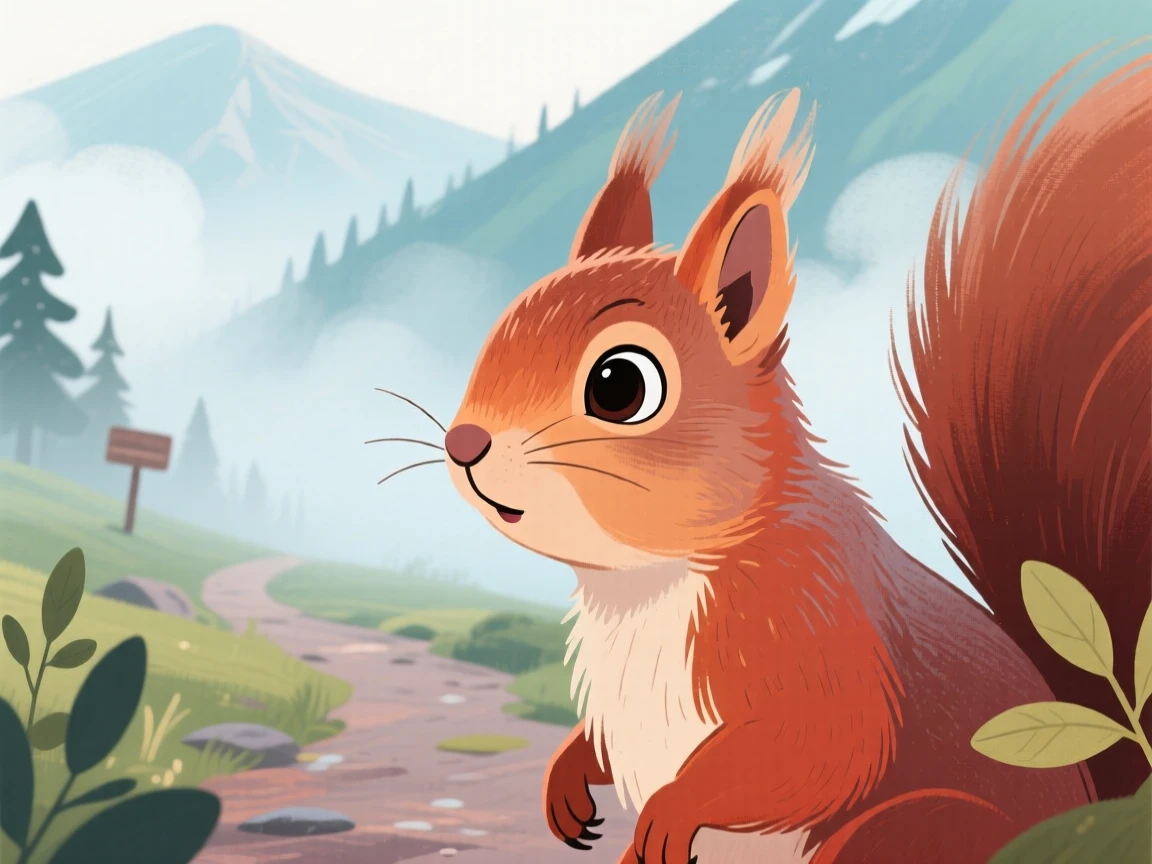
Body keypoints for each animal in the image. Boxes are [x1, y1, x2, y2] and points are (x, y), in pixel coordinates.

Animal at [443, 47, 1151, 864]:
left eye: (620, 384)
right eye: (502, 324)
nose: (463, 444)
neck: (646, 582)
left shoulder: (808, 623)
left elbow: (824, 745)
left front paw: (669, 810)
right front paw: (566, 777)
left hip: (907, 831)